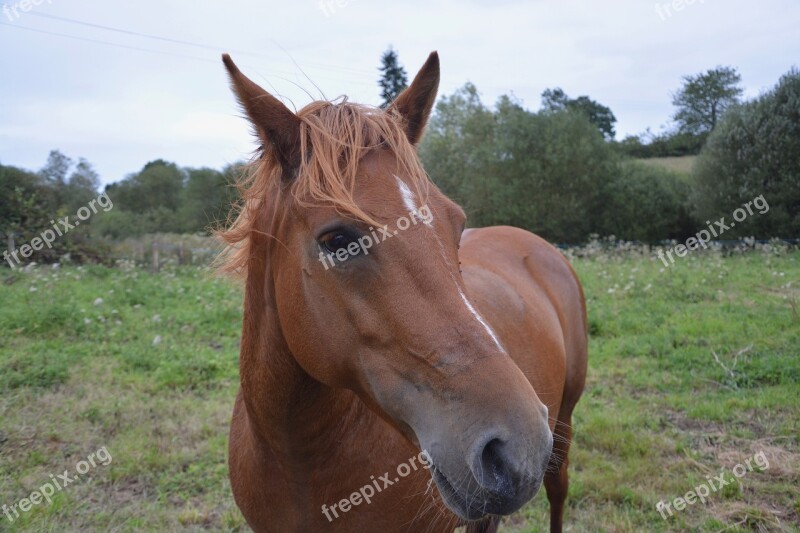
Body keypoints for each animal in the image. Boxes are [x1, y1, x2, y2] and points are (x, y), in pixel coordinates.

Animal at [219, 51, 588, 532]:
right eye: (337, 240)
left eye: (457, 224)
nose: (516, 447)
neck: (299, 456)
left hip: (563, 424)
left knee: (558, 489)